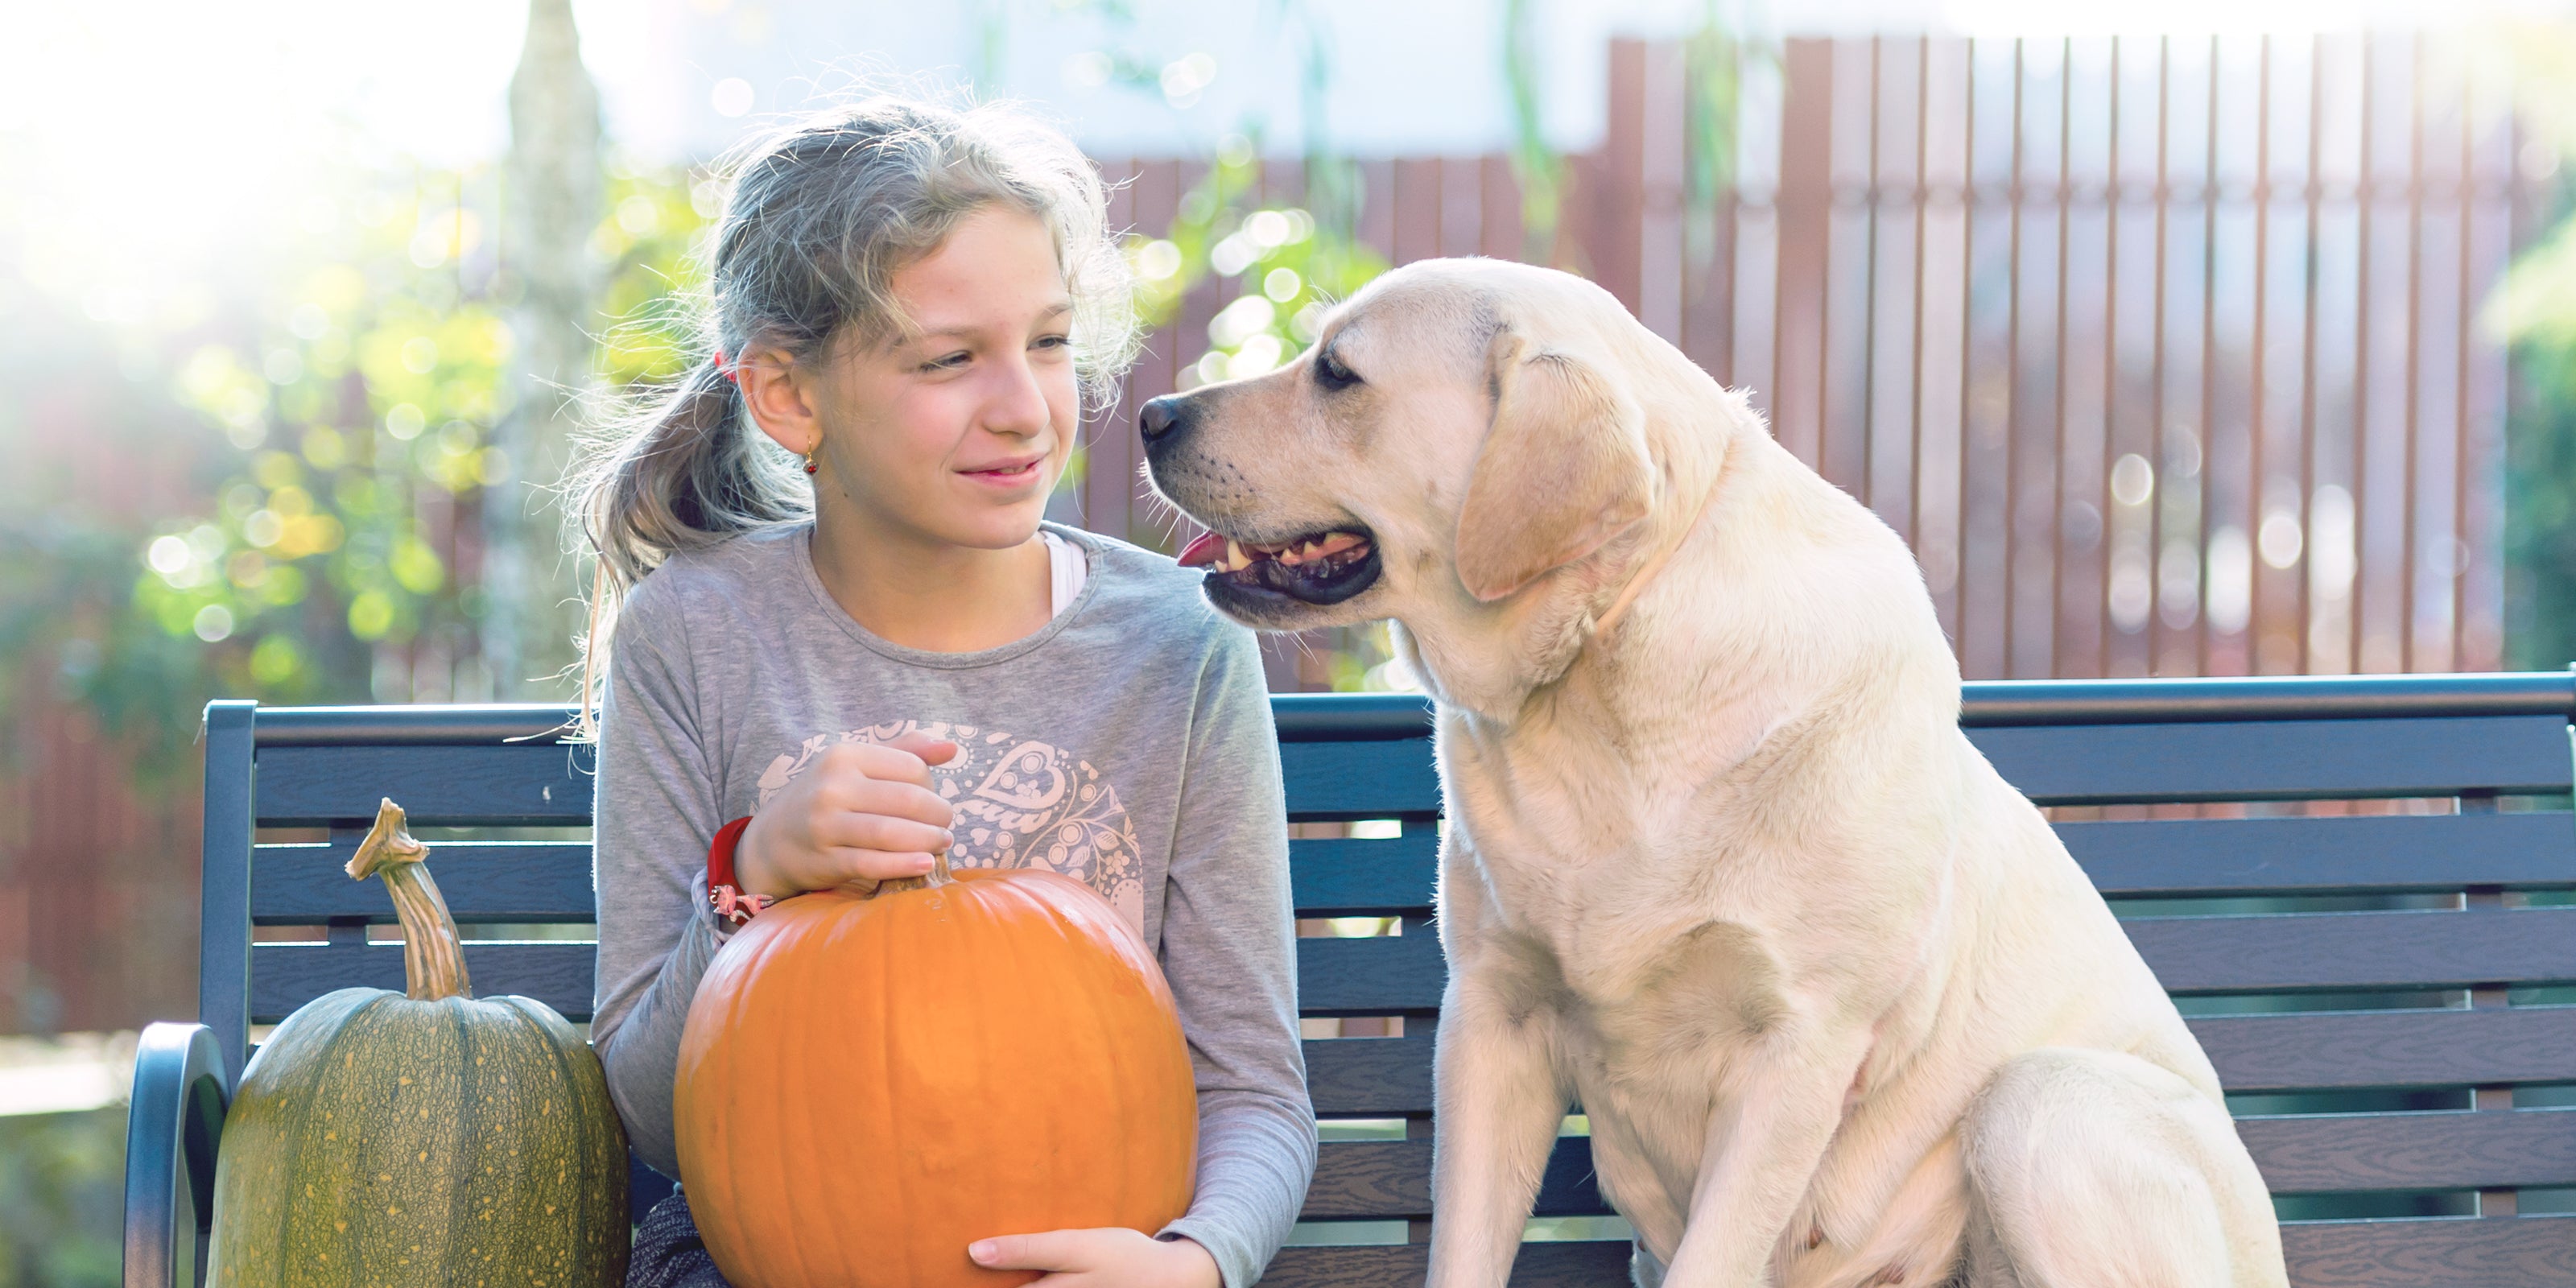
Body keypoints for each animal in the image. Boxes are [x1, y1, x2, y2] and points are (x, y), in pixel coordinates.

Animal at [1138, 258, 2287, 1288]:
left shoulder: (1796, 1057)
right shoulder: (1491, 1023)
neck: (1603, 679)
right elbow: (1463, 1248)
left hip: (2042, 1107)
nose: (1151, 414)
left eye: (1338, 374)